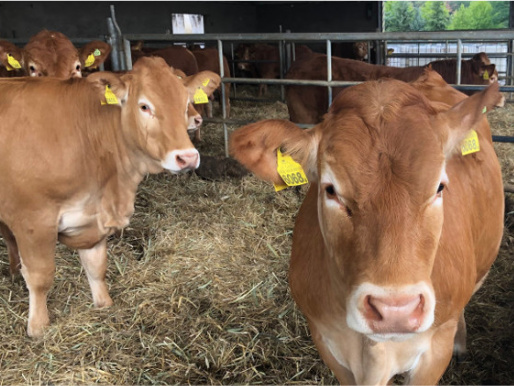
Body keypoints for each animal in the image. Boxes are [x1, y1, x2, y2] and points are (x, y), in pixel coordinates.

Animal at [0, 55, 218, 336]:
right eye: (144, 106)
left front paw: (104, 304)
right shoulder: (32, 219)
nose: (188, 157)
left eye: (185, 103)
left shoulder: (93, 217)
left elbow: (96, 267)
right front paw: (38, 328)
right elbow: (40, 276)